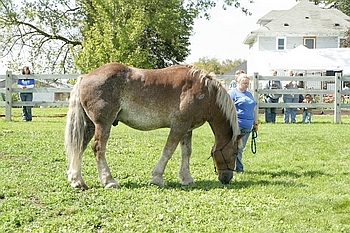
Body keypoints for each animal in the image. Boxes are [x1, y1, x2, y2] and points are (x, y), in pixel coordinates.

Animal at [65, 62, 241, 189]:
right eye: (234, 153)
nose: (227, 178)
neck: (205, 92)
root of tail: (85, 77)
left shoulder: (187, 128)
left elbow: (186, 153)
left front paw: (186, 178)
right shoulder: (179, 125)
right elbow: (168, 150)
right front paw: (157, 178)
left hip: (89, 125)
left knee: (80, 147)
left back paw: (77, 181)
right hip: (103, 124)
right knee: (98, 148)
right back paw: (109, 181)